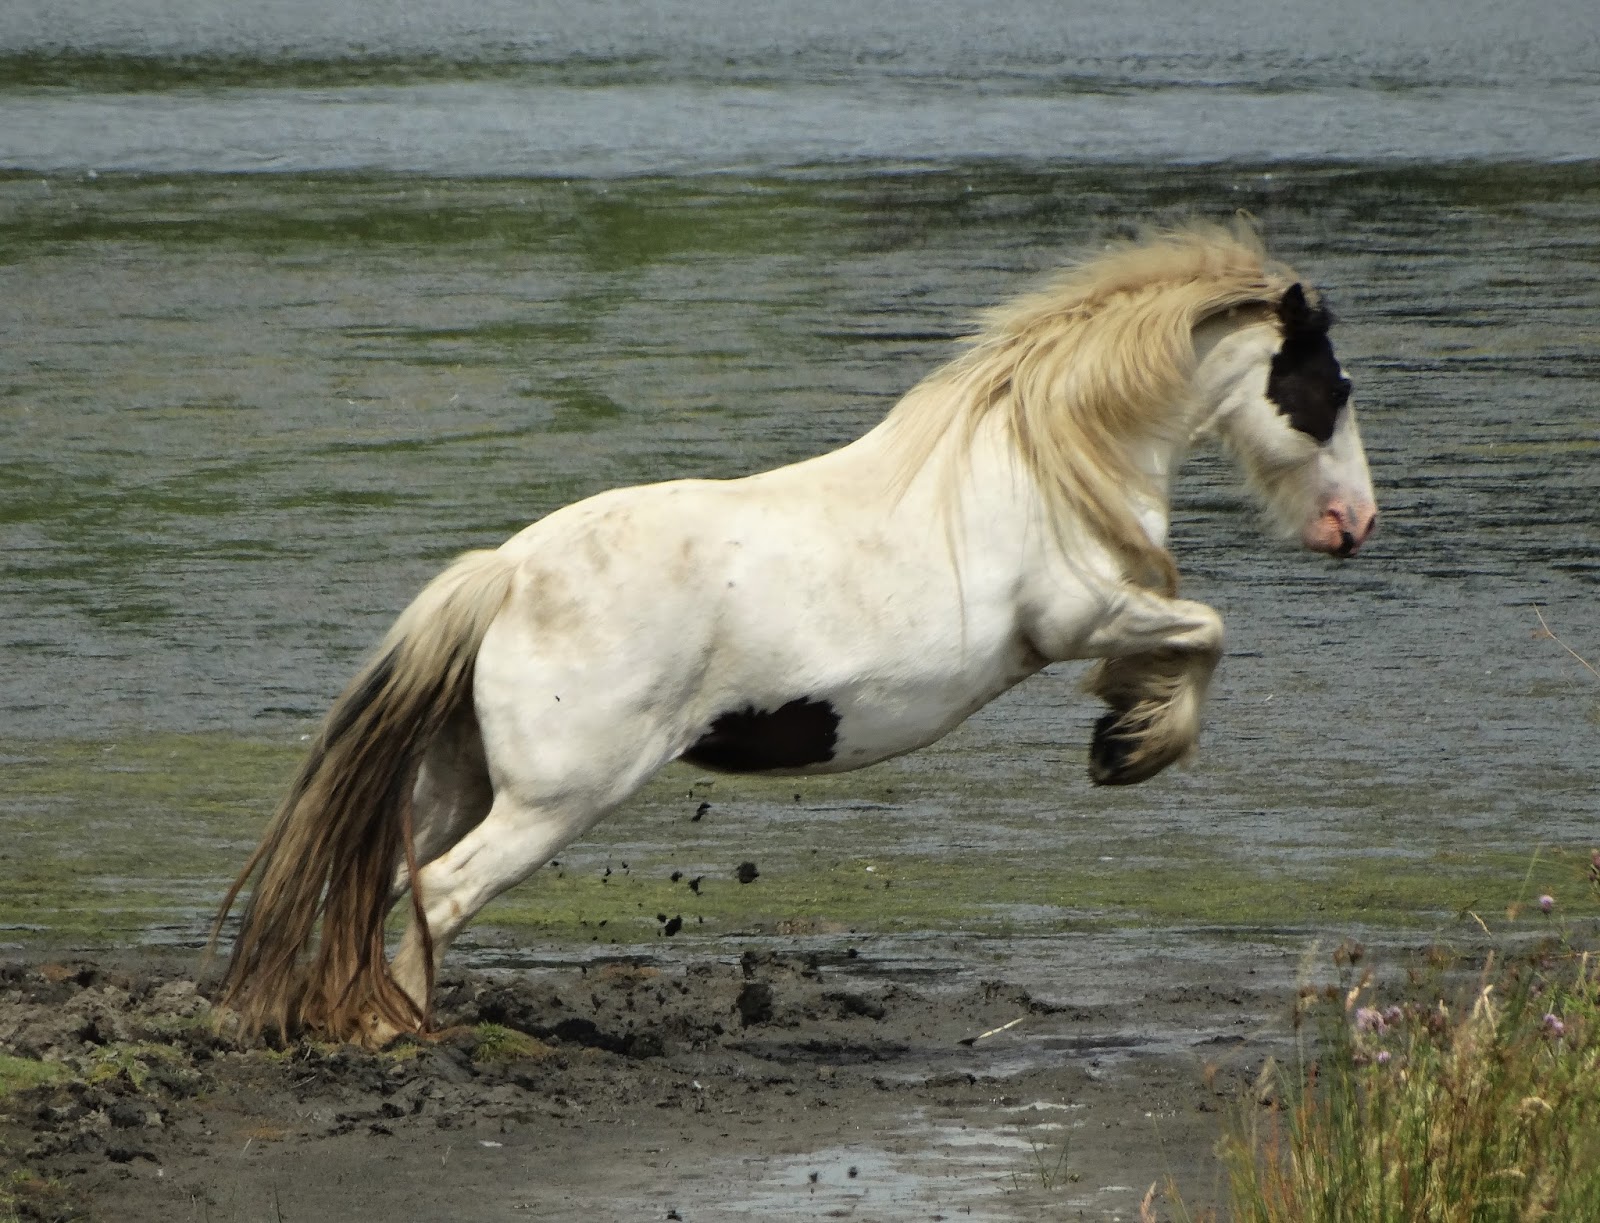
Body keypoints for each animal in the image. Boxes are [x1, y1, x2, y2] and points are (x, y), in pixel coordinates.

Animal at [213, 222, 1377, 1046]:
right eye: (1329, 386)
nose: (1354, 523)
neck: (1035, 458)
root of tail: (504, 574)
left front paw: (1124, 728)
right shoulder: (1078, 614)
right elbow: (1206, 629)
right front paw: (1130, 742)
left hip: (458, 782)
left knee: (394, 886)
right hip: (552, 803)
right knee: (444, 894)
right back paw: (402, 1033)